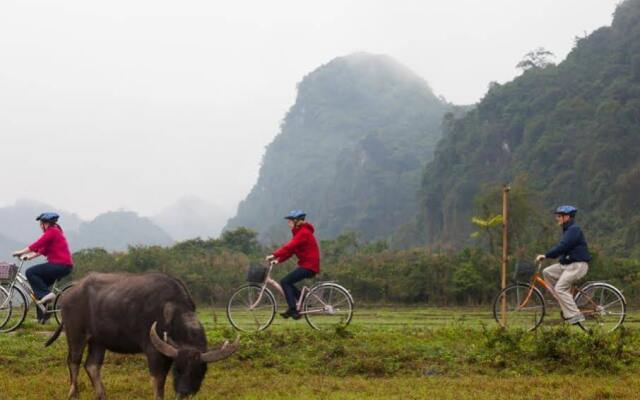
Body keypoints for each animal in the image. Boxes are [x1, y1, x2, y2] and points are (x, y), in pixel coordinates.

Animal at [46, 272, 239, 400]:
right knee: (74, 361)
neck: (170, 309)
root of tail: (68, 294)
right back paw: (74, 394)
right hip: (76, 334)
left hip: (99, 341)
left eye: (200, 371)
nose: (184, 392)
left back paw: (102, 395)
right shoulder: (153, 351)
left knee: (92, 365)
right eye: (177, 369)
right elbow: (158, 382)